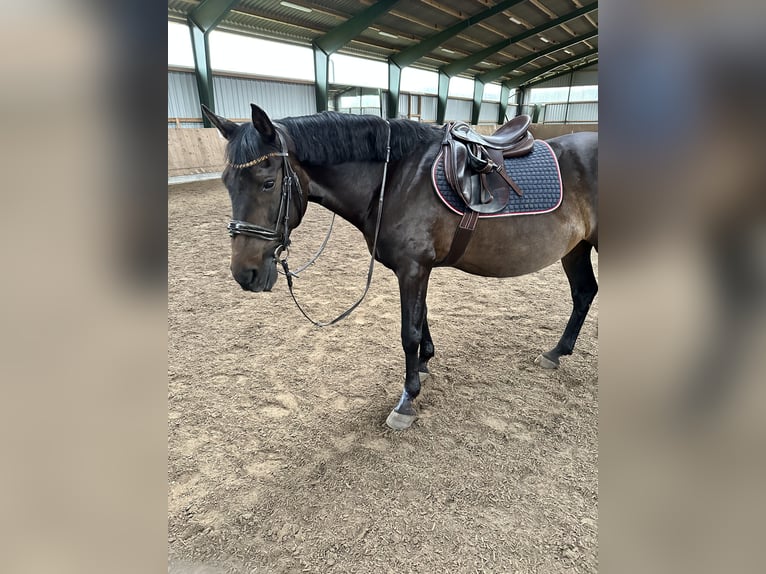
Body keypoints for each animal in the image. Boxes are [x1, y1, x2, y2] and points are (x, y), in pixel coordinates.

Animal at [202, 103, 600, 430]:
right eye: (227, 183)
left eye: (268, 183)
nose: (245, 273)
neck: (394, 179)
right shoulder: (418, 270)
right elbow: (421, 320)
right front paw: (425, 362)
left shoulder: (412, 269)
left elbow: (409, 332)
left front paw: (407, 399)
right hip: (575, 248)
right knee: (584, 293)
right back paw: (556, 353)